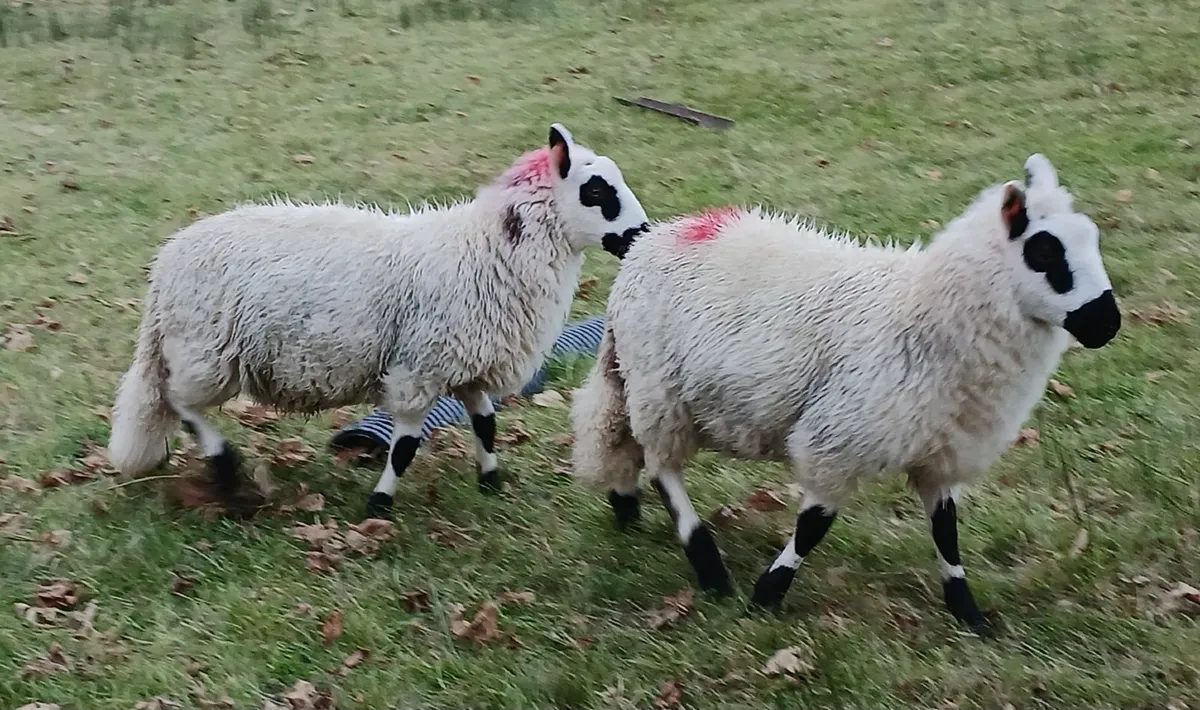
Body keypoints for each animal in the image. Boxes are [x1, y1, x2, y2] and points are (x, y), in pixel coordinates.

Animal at [108, 122, 650, 519]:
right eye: (596, 190)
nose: (641, 234)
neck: (487, 249)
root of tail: (166, 264)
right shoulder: (418, 369)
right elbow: (405, 445)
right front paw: (380, 504)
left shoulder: (466, 366)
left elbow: (486, 424)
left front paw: (492, 481)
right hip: (205, 351)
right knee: (180, 403)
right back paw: (224, 465)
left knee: (169, 401)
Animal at [570, 154, 1121, 634]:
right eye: (1044, 251)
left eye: (1091, 240)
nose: (1107, 324)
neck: (920, 313)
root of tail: (659, 235)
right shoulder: (839, 437)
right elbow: (813, 526)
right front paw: (766, 596)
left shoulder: (940, 450)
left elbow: (947, 531)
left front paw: (968, 613)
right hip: (659, 391)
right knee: (662, 468)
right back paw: (707, 564)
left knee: (627, 443)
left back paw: (627, 508)